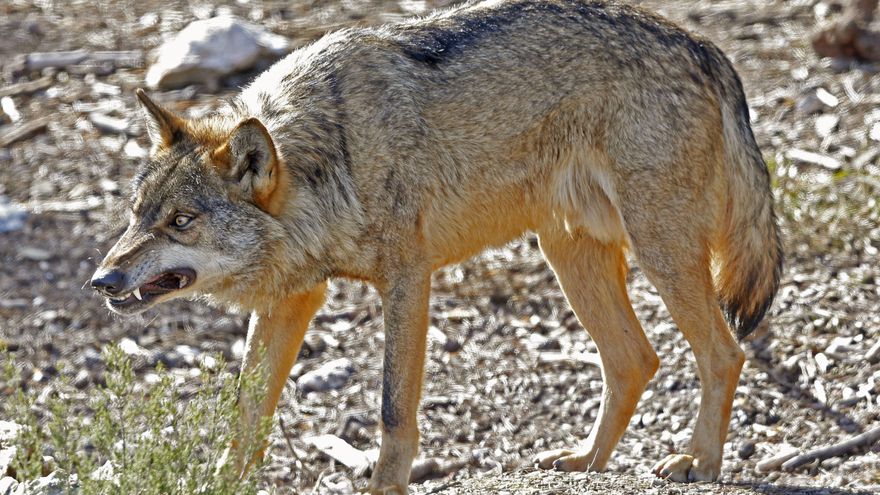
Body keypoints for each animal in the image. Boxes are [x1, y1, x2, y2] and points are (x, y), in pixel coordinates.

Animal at [91, 0, 782, 492]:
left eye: (181, 221)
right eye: (137, 215)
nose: (102, 282)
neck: (335, 154)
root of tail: (707, 47)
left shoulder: (407, 278)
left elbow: (393, 412)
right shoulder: (294, 298)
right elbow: (246, 413)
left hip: (658, 250)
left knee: (723, 352)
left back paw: (700, 462)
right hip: (569, 254)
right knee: (636, 359)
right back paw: (585, 461)